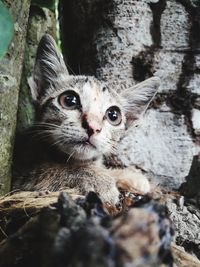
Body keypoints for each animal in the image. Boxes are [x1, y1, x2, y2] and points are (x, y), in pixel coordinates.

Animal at [12, 34, 159, 204]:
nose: (93, 127)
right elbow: (47, 169)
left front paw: (127, 176)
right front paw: (98, 178)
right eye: (69, 100)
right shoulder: (18, 169)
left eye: (113, 115)